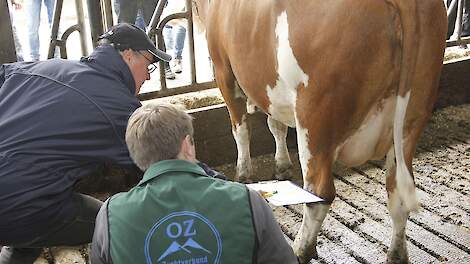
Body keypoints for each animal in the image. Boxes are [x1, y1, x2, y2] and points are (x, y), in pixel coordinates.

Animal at [192, 0, 448, 262]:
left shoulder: (224, 69)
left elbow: (241, 129)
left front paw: (243, 173)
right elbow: (276, 125)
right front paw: (281, 165)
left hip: (315, 121)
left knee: (319, 193)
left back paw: (300, 249)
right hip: (412, 119)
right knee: (397, 195)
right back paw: (396, 254)